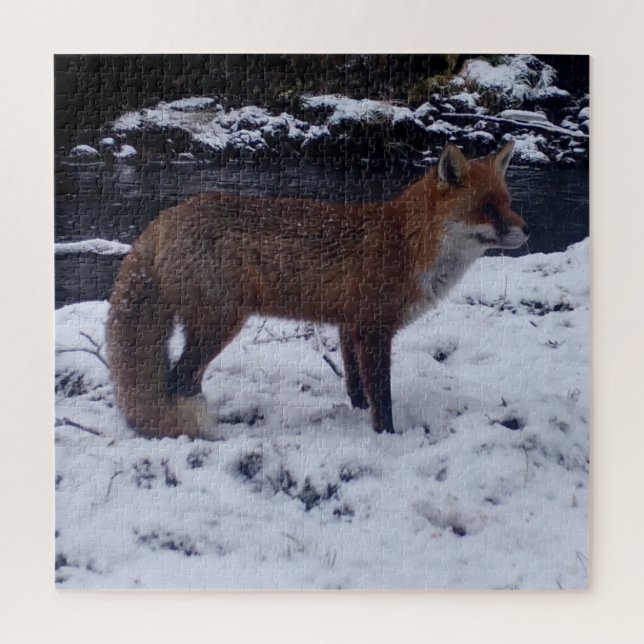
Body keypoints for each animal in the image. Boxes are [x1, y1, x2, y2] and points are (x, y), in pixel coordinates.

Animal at [106, 141, 528, 439]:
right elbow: (383, 398)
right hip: (219, 326)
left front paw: (358, 413)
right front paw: (387, 437)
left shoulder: (349, 325)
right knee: (177, 379)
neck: (408, 246)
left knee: (186, 381)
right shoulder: (374, 330)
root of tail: (160, 221)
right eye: (486, 208)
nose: (527, 231)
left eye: (508, 203)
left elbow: (356, 387)